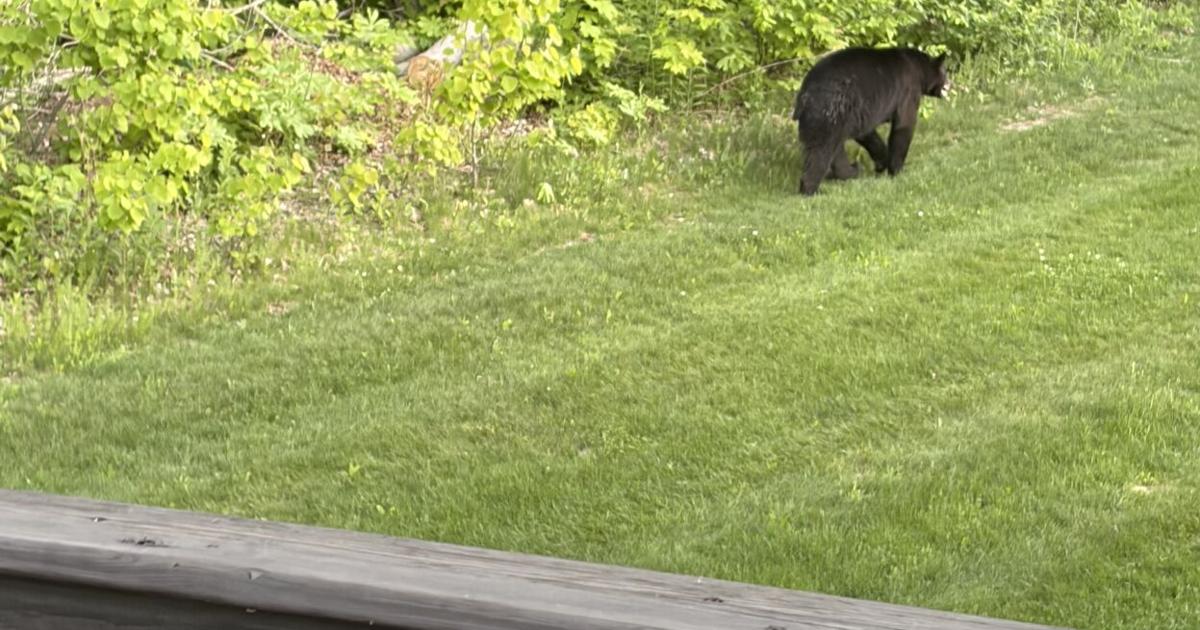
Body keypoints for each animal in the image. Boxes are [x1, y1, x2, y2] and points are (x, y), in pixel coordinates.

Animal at [792, 47, 950, 196]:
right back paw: (812, 190)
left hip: (832, 118)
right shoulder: (908, 91)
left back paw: (850, 171)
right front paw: (897, 171)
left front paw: (882, 162)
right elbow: (904, 125)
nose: (950, 84)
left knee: (833, 149)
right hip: (830, 111)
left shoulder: (860, 113)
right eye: (945, 72)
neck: (919, 69)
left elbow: (868, 134)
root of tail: (805, 95)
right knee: (821, 151)